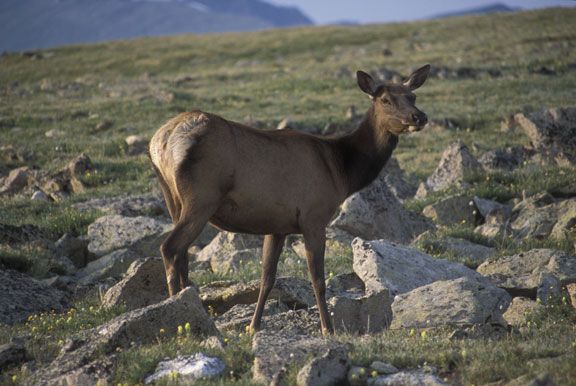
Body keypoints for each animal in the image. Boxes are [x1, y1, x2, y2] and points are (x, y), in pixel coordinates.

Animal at [151, 64, 430, 334]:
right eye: (385, 99)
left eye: (413, 96)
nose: (419, 117)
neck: (341, 171)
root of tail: (162, 140)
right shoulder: (314, 217)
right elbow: (318, 279)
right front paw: (328, 329)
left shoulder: (277, 226)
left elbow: (267, 279)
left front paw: (253, 327)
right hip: (202, 197)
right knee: (170, 248)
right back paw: (180, 315)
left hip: (172, 198)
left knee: (182, 253)